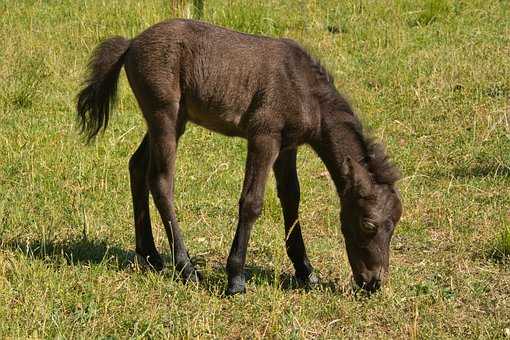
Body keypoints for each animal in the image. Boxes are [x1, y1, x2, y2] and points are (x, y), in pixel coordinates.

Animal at [76, 19, 402, 294]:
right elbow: (252, 203)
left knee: (137, 166)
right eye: (368, 224)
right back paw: (186, 267)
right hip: (163, 115)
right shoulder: (263, 138)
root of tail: (131, 43)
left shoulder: (288, 147)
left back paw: (150, 255)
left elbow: (291, 199)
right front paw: (235, 279)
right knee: (160, 182)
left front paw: (305, 271)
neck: (305, 90)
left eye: (394, 225)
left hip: (175, 120)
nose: (373, 282)